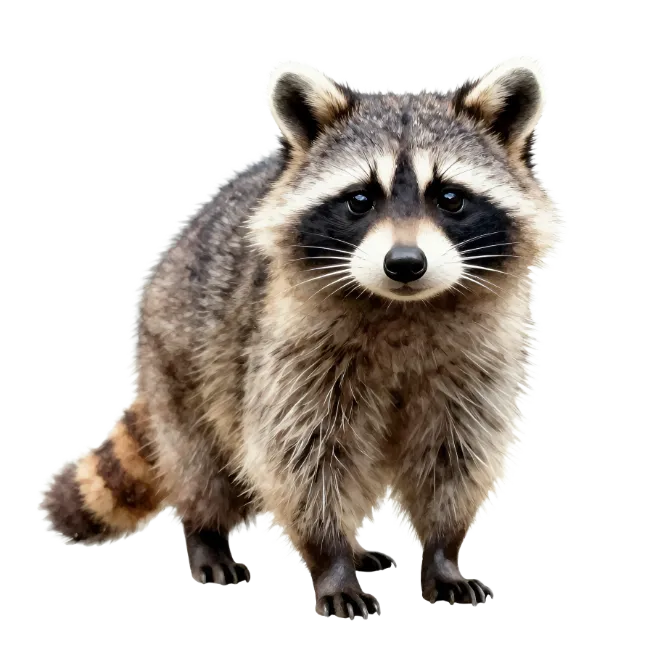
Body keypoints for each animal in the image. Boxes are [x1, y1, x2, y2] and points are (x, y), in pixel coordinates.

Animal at [40, 61, 561, 618]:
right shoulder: (292, 353)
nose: (404, 263)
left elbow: (455, 455)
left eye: (450, 198)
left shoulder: (479, 363)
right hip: (180, 357)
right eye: (360, 200)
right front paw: (331, 561)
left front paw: (443, 554)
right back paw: (207, 534)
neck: (403, 307)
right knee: (201, 462)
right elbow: (304, 458)